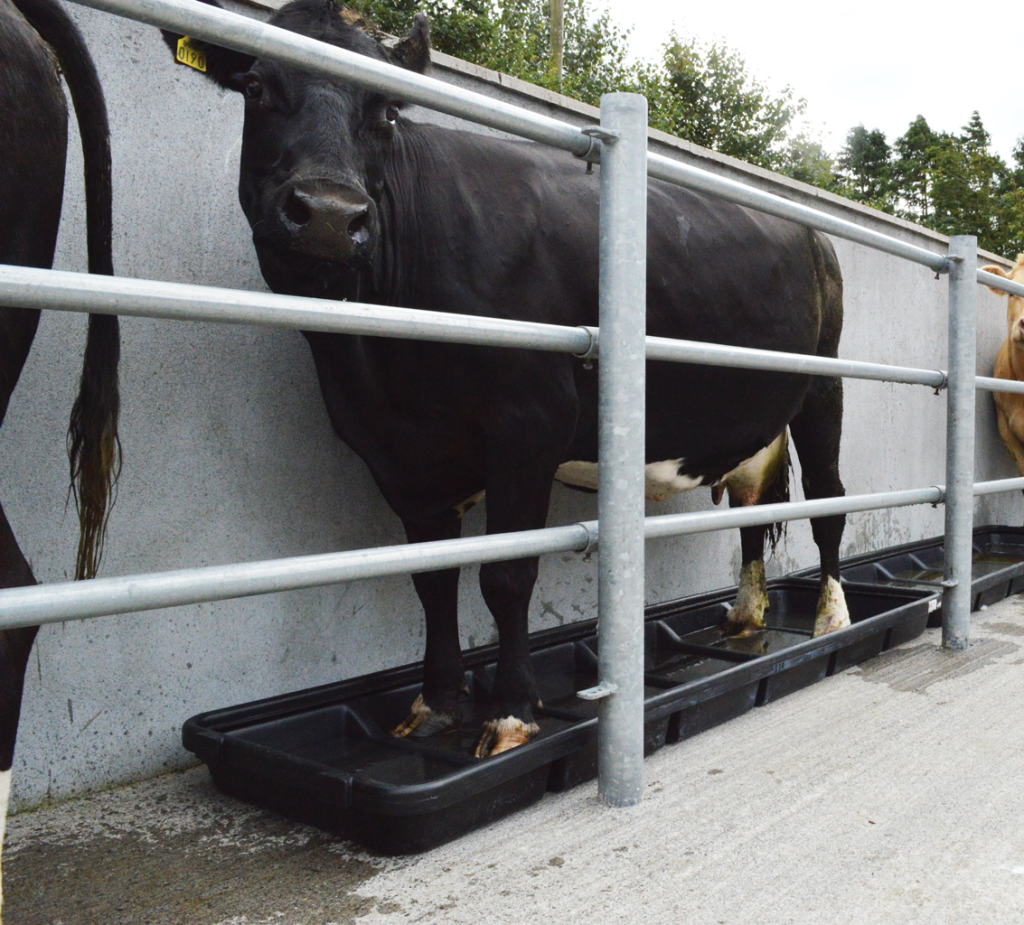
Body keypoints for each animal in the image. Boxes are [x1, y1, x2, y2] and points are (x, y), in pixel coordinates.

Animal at [161, 1, 847, 758]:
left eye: (387, 111)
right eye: (255, 85)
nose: (330, 215)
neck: (376, 363)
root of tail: (810, 230)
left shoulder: (529, 420)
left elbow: (508, 574)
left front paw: (511, 710)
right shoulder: (396, 450)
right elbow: (433, 579)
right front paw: (435, 703)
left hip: (825, 387)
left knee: (831, 500)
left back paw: (830, 617)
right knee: (754, 505)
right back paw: (747, 616)